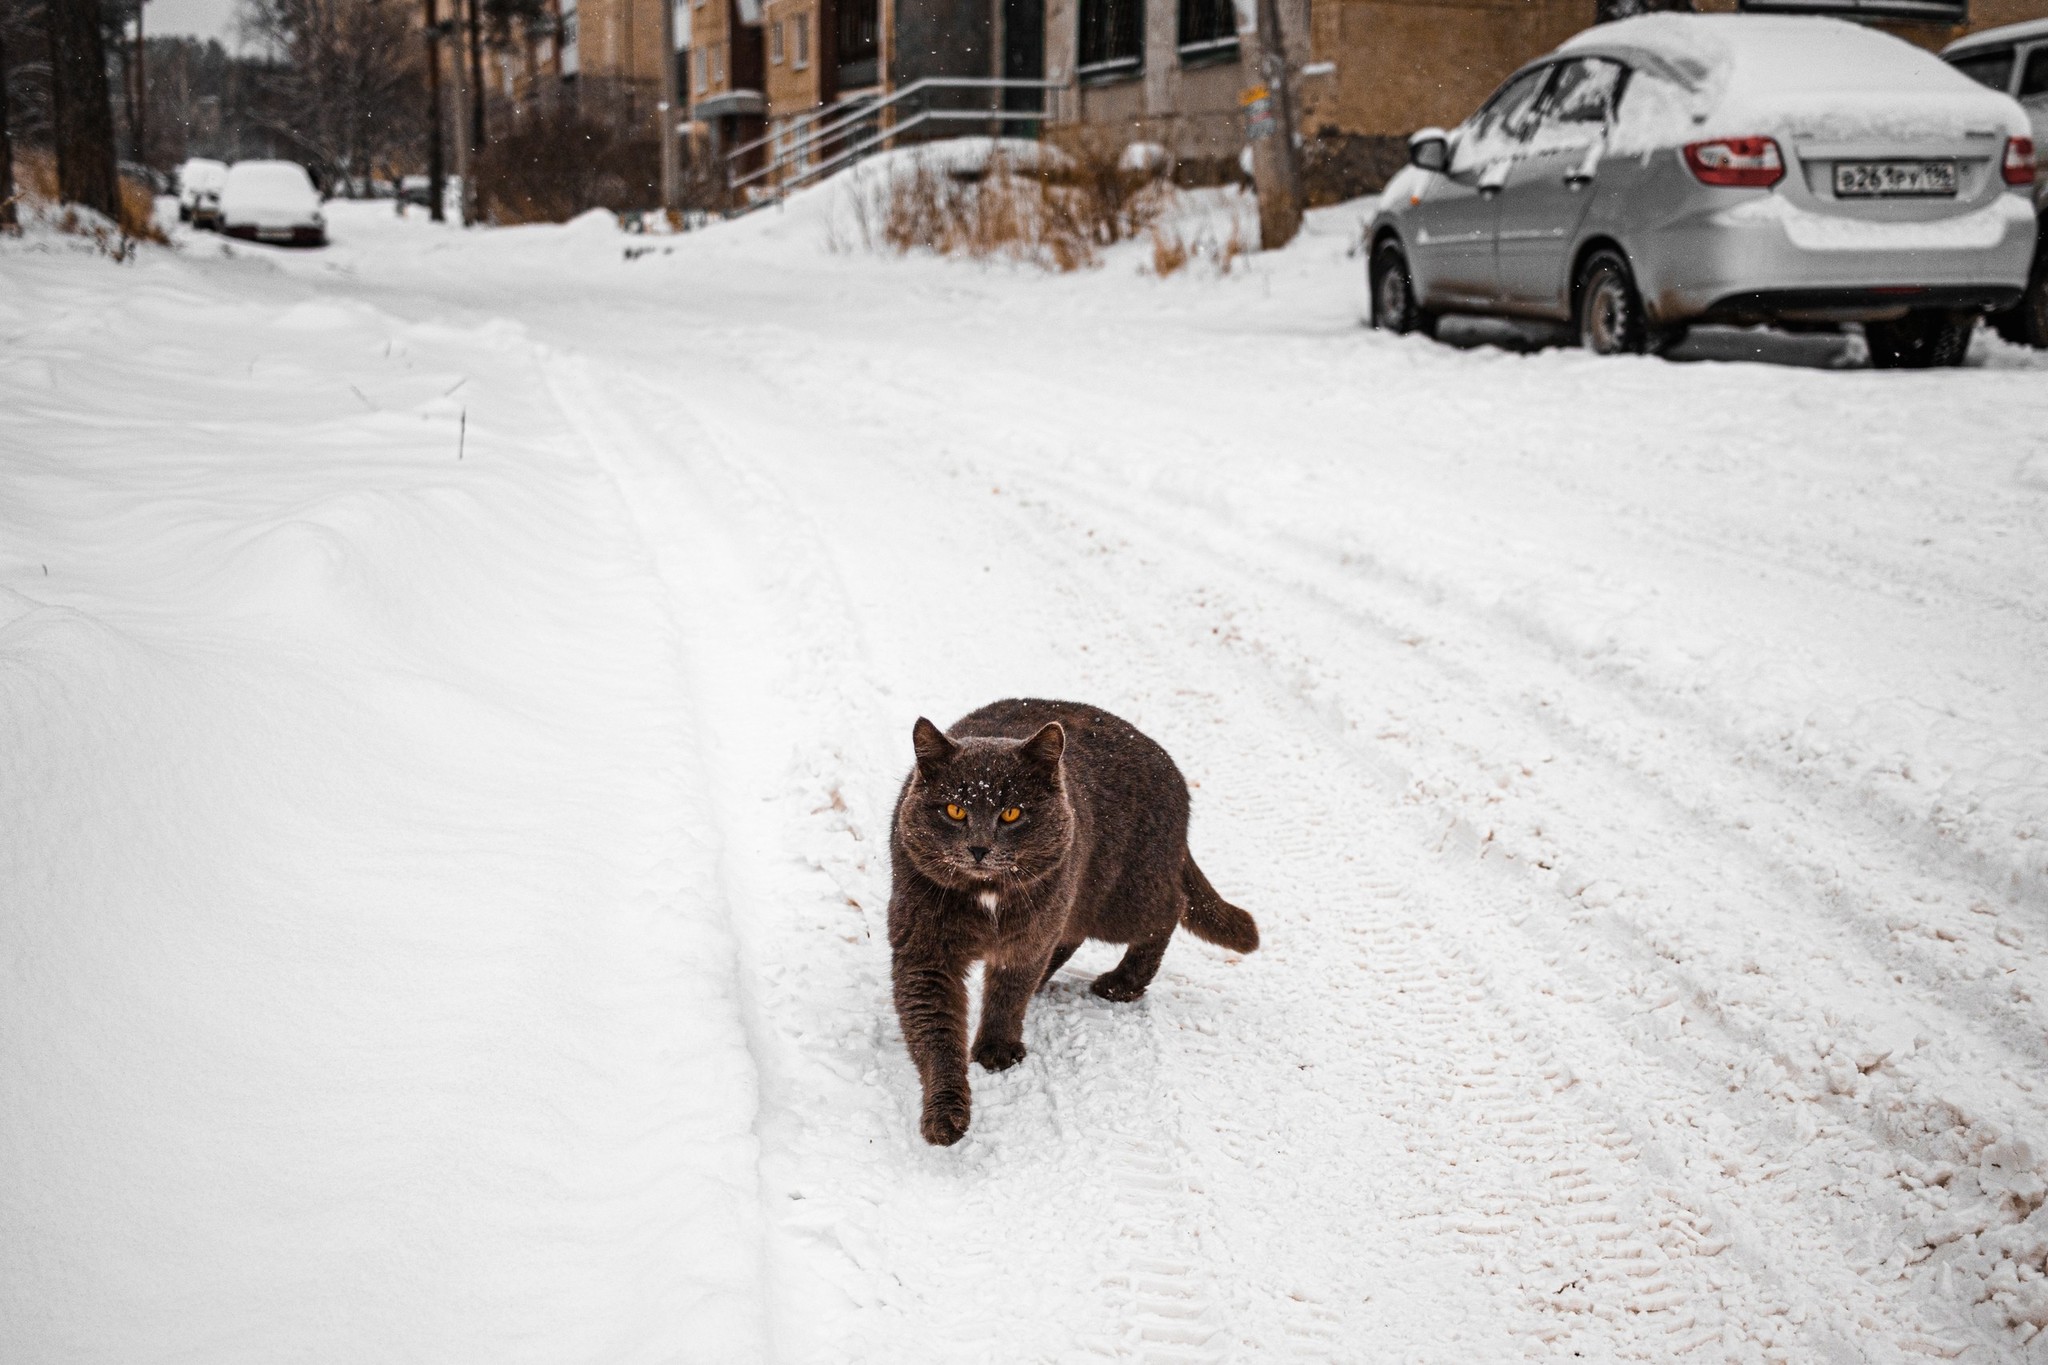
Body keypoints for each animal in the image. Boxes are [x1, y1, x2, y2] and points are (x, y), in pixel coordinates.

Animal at [884, 699, 1253, 1146]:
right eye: (955, 810)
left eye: (1011, 814)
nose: (979, 847)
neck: (987, 896)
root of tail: (1176, 780)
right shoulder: (925, 952)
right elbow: (936, 1032)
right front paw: (946, 1115)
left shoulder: (1028, 938)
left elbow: (1008, 995)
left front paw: (997, 1050)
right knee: (1076, 936)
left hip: (1118, 897)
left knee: (1170, 908)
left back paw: (1121, 984)